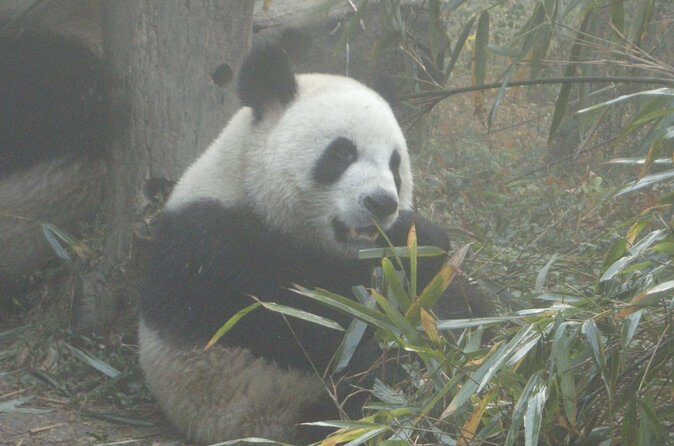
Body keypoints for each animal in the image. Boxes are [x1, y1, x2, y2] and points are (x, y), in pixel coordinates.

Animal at [139, 45, 487, 444]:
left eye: (395, 164)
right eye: (342, 153)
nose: (381, 203)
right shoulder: (216, 247)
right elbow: (311, 319)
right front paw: (418, 239)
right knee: (374, 382)